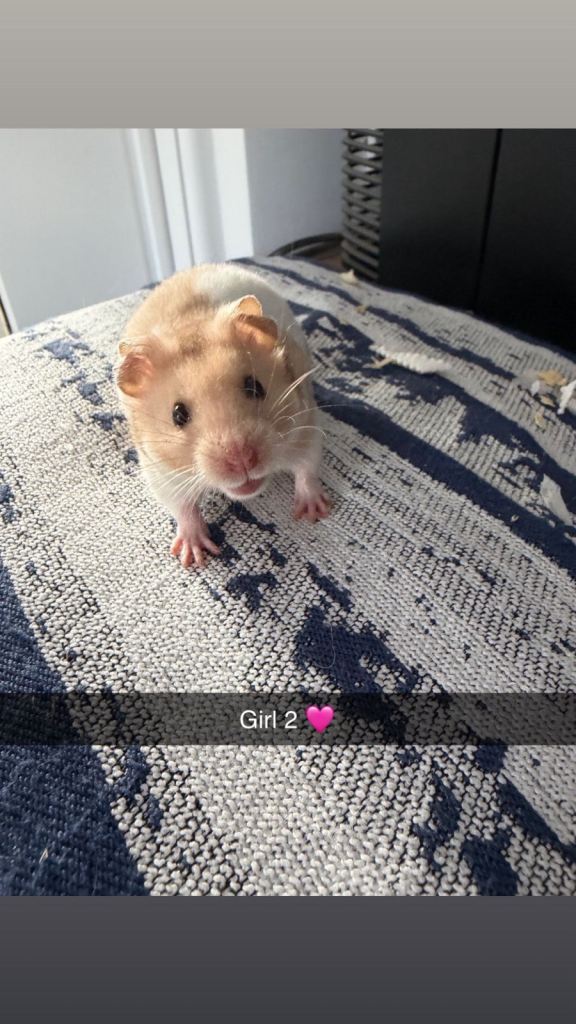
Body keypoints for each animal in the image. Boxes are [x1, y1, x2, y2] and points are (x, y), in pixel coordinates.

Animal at [116, 263, 329, 568]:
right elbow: (182, 507)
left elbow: (307, 467)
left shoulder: (304, 425)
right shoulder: (162, 472)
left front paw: (314, 513)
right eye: (178, 414)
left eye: (255, 386)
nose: (242, 460)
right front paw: (194, 556)